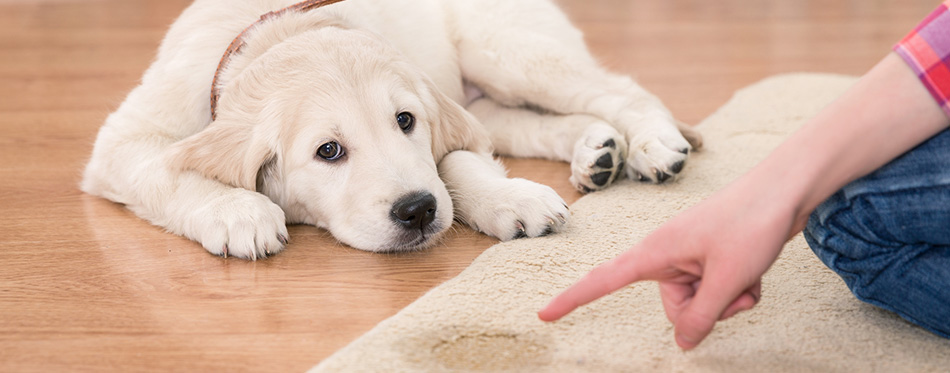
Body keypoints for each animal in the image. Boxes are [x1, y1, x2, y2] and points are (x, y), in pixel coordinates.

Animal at [82, 0, 700, 258]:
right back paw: (597, 151)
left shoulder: (440, 113)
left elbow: (456, 160)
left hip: (505, 50)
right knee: (530, 122)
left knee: (620, 89)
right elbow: (165, 170)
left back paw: (652, 145)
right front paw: (239, 213)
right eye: (329, 151)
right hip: (489, 90)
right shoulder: (124, 140)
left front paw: (509, 198)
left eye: (405, 121)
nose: (418, 211)